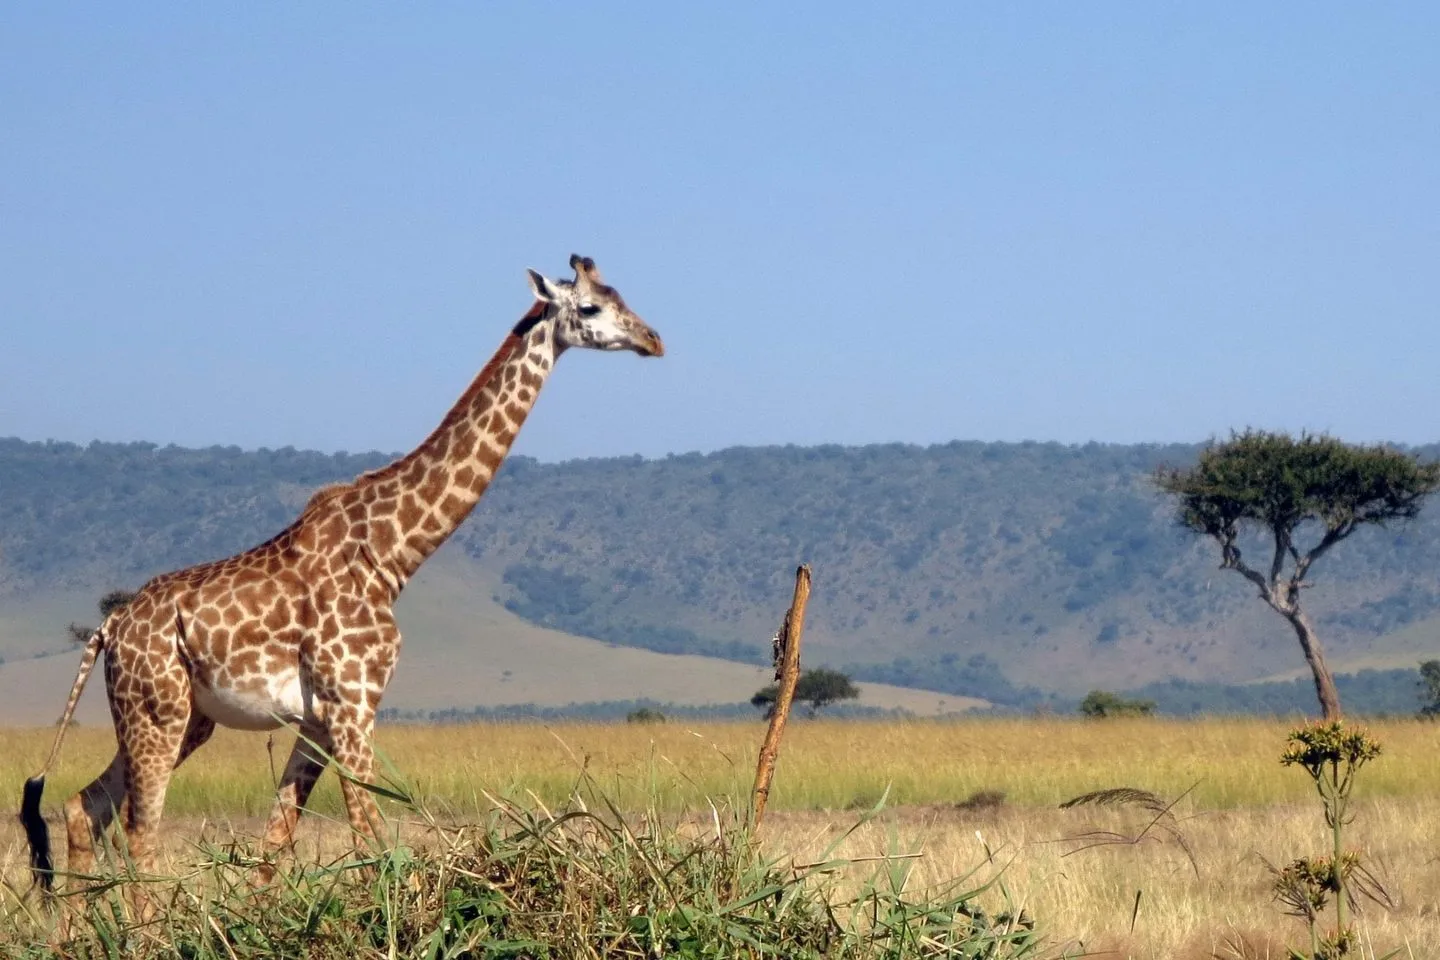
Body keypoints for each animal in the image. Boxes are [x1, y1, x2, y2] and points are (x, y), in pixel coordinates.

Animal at [20, 254, 663, 901]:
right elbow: (372, 838)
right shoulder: (354, 703)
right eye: (591, 306)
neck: (393, 553)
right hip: (158, 711)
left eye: (622, 296)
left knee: (85, 807)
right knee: (139, 830)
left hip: (181, 718)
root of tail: (109, 628)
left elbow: (276, 842)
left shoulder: (319, 717)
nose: (653, 340)